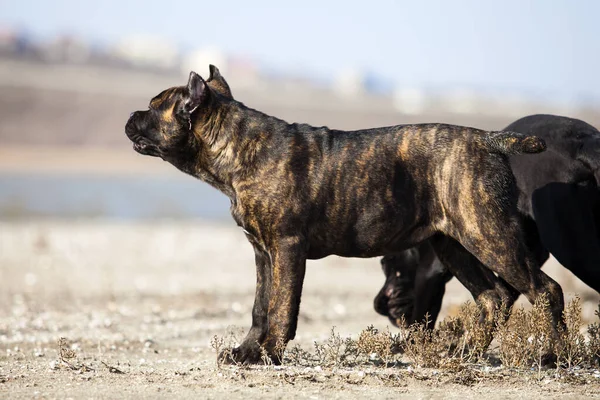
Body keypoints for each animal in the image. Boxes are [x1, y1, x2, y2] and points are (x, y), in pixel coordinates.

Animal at [124, 66, 560, 366]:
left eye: (154, 107)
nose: (130, 117)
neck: (239, 147)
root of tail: (489, 140)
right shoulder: (262, 253)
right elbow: (260, 307)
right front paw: (246, 353)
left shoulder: (286, 249)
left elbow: (281, 307)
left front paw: (269, 355)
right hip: (455, 244)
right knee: (493, 297)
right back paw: (464, 354)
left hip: (489, 236)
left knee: (545, 290)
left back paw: (553, 357)